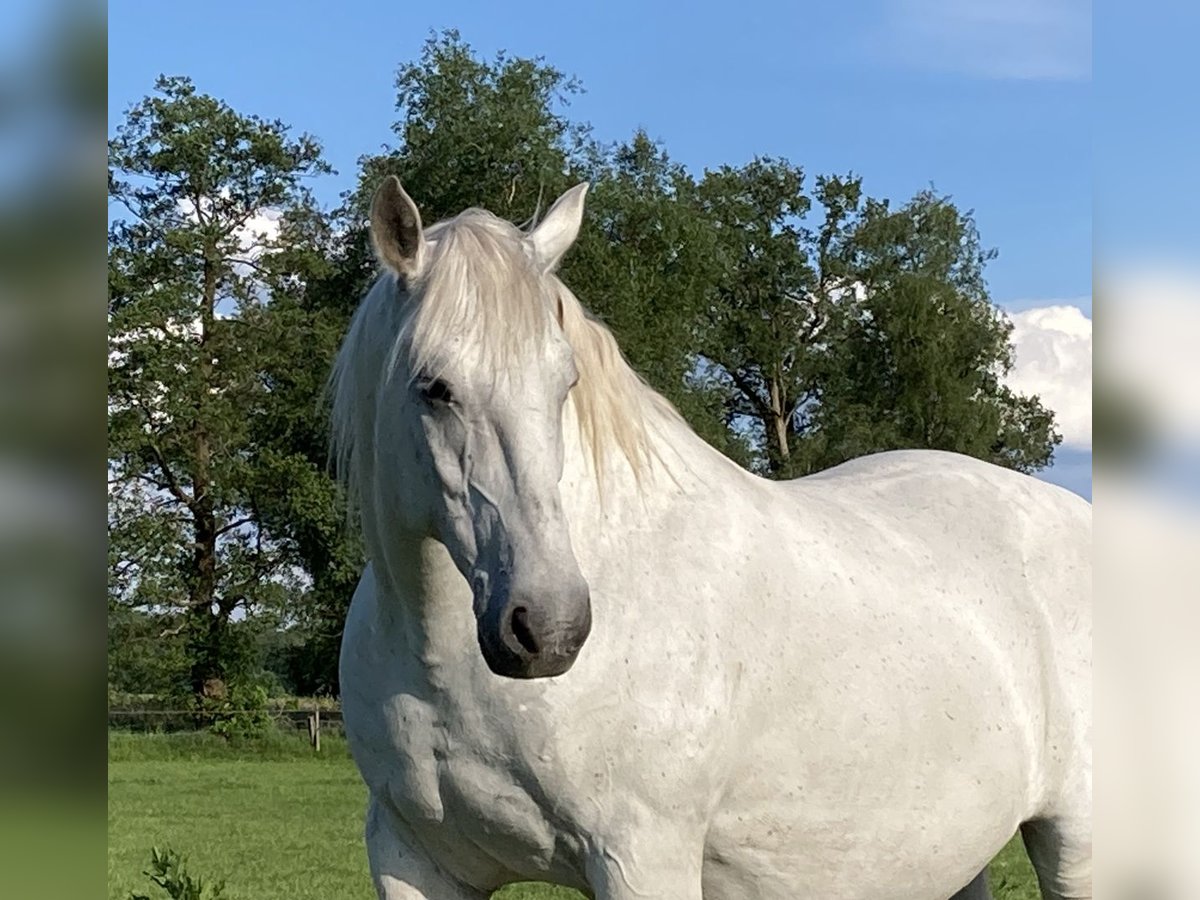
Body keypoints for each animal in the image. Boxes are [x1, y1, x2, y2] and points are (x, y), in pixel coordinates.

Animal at [333, 177, 1094, 900]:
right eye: (434, 387)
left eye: (564, 381)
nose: (547, 629)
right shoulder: (413, 860)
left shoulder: (642, 861)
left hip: (1076, 842)